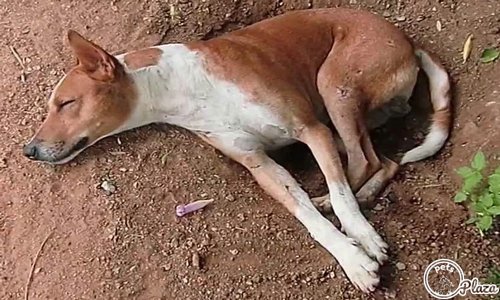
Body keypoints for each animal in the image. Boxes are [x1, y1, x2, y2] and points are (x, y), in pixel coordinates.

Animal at [23, 8, 452, 292]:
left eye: (66, 104)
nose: (29, 150)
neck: (179, 88)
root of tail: (409, 43)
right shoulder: (261, 166)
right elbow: (309, 220)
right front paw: (351, 257)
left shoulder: (310, 130)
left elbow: (342, 196)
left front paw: (361, 240)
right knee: (379, 162)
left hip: (335, 87)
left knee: (366, 162)